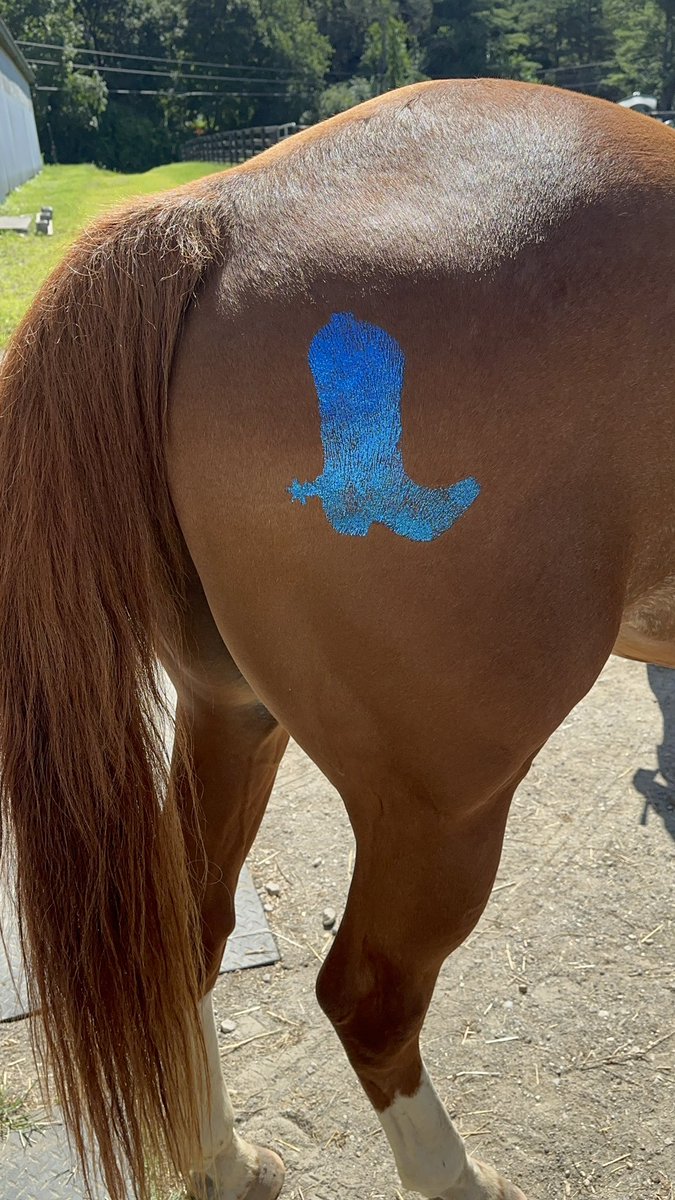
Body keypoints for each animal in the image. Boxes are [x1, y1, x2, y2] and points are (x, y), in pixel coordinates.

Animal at [0, 77, 672, 1200]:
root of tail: (214, 211)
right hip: (441, 808)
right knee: (370, 995)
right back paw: (457, 1179)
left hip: (229, 714)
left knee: (182, 938)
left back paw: (226, 1163)